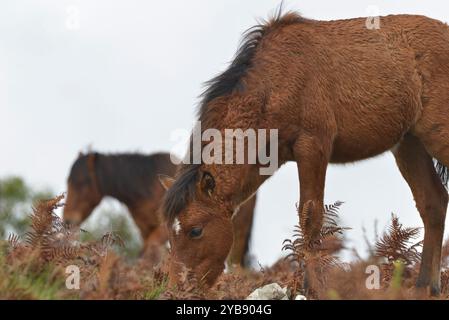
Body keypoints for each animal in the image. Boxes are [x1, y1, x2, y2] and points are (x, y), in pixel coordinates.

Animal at [159, 11, 448, 294]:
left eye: (195, 230)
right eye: (170, 233)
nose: (175, 290)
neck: (275, 83)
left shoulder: (313, 145)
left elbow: (310, 218)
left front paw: (312, 288)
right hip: (410, 144)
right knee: (433, 203)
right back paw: (425, 287)